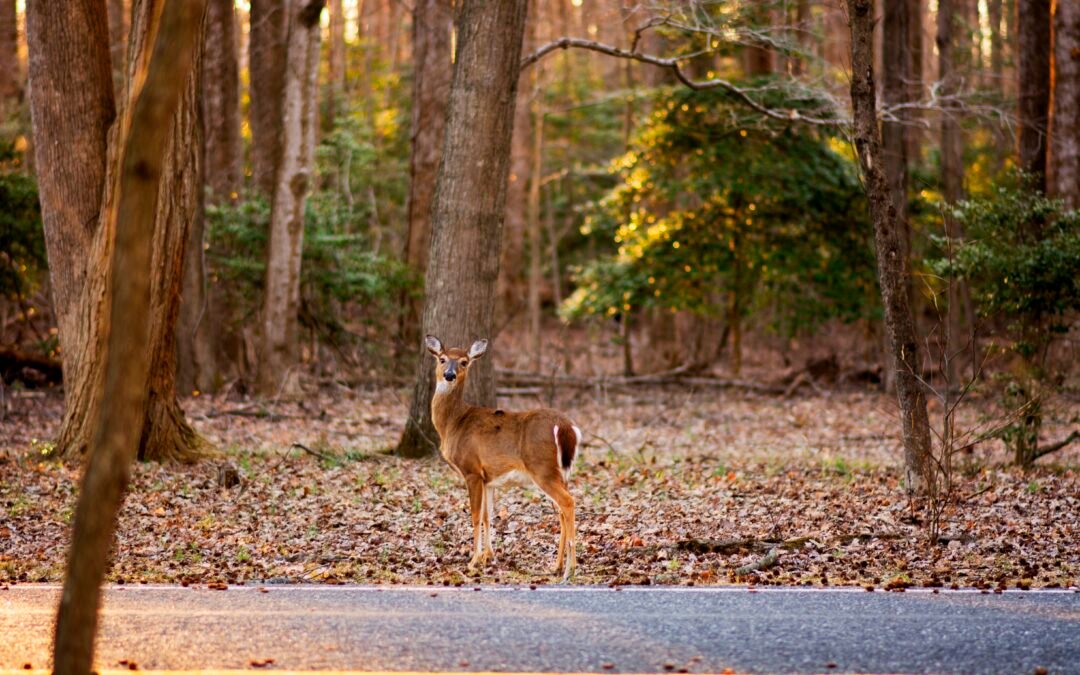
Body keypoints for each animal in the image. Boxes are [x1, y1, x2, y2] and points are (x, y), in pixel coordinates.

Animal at [424, 335, 580, 581]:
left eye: (464, 362)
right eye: (442, 359)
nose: (449, 375)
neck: (453, 423)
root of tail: (566, 426)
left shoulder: (471, 470)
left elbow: (475, 515)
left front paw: (473, 561)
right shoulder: (488, 478)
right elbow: (488, 515)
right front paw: (488, 557)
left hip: (542, 468)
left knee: (568, 502)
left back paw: (570, 570)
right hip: (561, 471)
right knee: (561, 510)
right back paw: (555, 566)